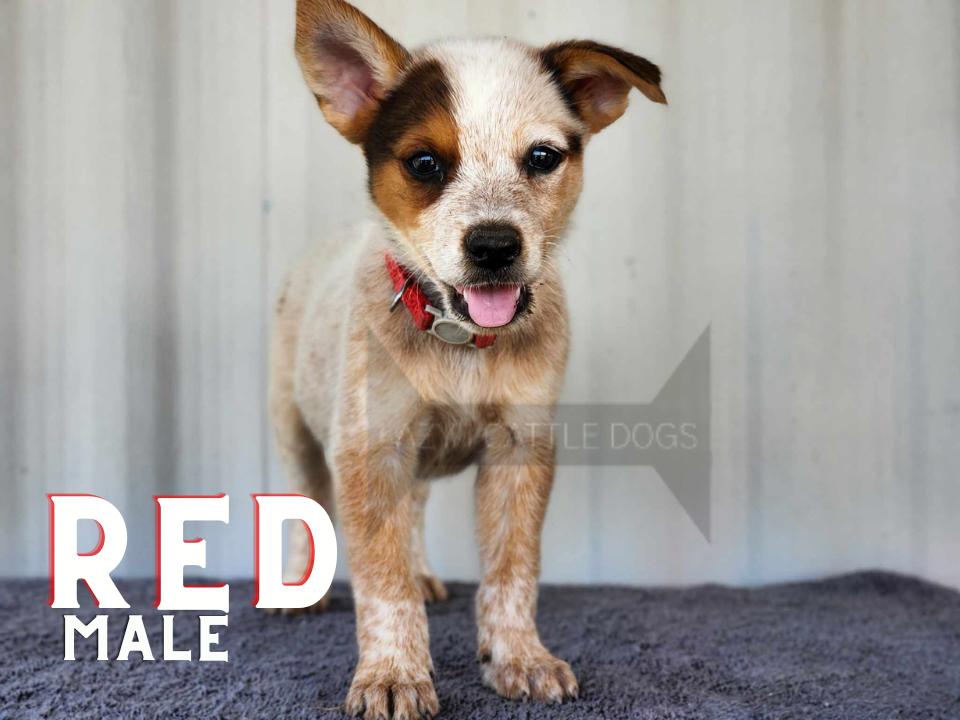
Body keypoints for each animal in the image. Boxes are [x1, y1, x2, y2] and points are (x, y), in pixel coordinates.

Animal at [270, 1, 666, 717]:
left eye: (542, 157)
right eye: (425, 162)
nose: (494, 245)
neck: (459, 345)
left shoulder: (520, 447)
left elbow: (512, 571)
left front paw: (520, 658)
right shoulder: (369, 449)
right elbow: (383, 583)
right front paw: (393, 674)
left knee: (416, 509)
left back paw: (427, 573)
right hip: (293, 425)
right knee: (299, 501)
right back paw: (293, 589)